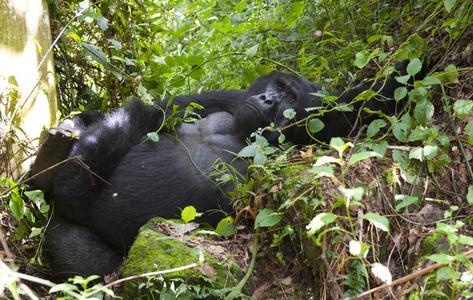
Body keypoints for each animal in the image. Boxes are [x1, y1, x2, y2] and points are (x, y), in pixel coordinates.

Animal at [32, 62, 416, 280]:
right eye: (277, 87)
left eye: (290, 99)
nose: (269, 100)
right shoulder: (228, 97)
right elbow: (153, 113)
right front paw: (76, 183)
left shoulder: (321, 122)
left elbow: (367, 105)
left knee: (89, 263)